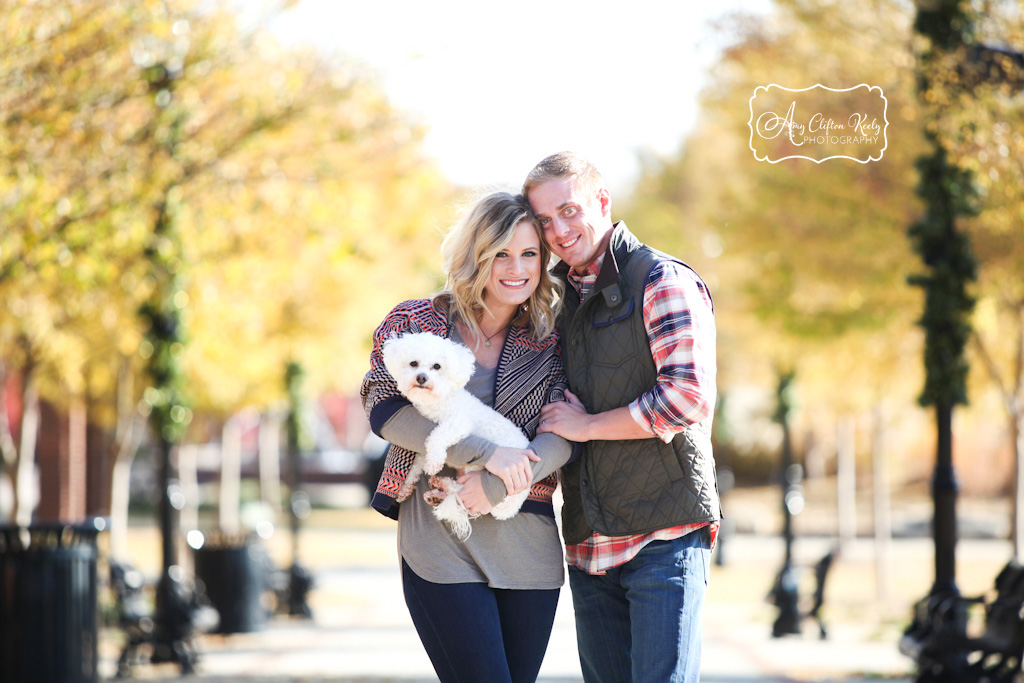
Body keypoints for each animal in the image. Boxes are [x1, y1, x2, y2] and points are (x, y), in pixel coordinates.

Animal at [382, 333, 532, 540]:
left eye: (437, 366)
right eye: (413, 363)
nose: (421, 377)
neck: (438, 401)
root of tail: (511, 509)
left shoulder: (458, 423)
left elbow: (438, 436)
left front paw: (434, 464)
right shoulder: (423, 445)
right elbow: (416, 465)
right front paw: (405, 486)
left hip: (478, 471)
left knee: (462, 491)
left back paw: (442, 485)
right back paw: (438, 493)